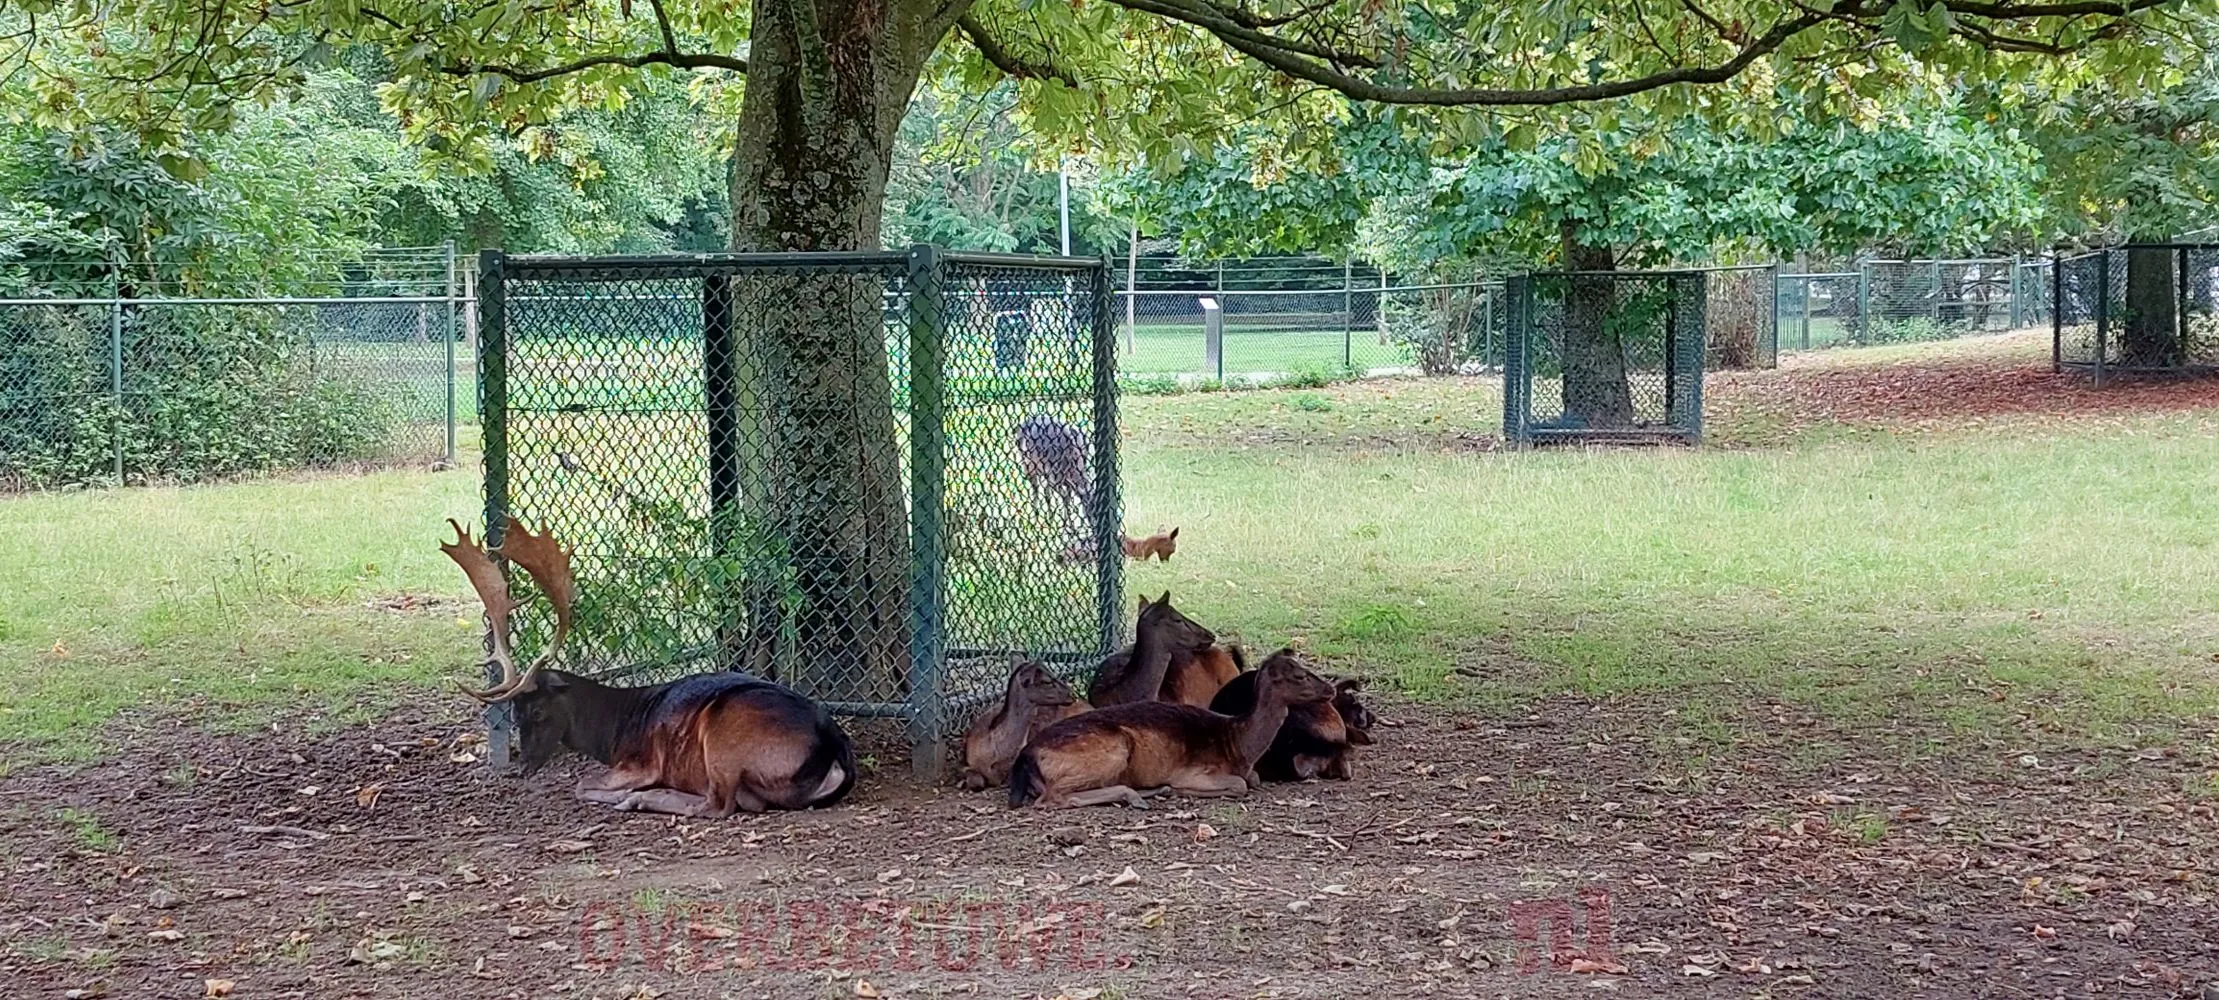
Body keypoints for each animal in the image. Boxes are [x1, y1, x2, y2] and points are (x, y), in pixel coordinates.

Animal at [443, 521, 856, 820]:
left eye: (540, 711)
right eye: (514, 714)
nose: (523, 766)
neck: (612, 732)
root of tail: (834, 750)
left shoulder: (639, 762)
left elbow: (582, 784)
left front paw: (625, 793)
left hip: (726, 739)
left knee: (720, 805)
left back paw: (641, 799)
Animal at [1011, 651, 1331, 811]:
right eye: (1300, 676)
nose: (1329, 688)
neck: (1237, 746)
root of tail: (1026, 756)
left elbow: (1253, 778)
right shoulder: (1193, 769)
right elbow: (1241, 784)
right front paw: (1177, 789)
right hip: (1110, 752)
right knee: (1052, 797)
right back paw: (1138, 795)